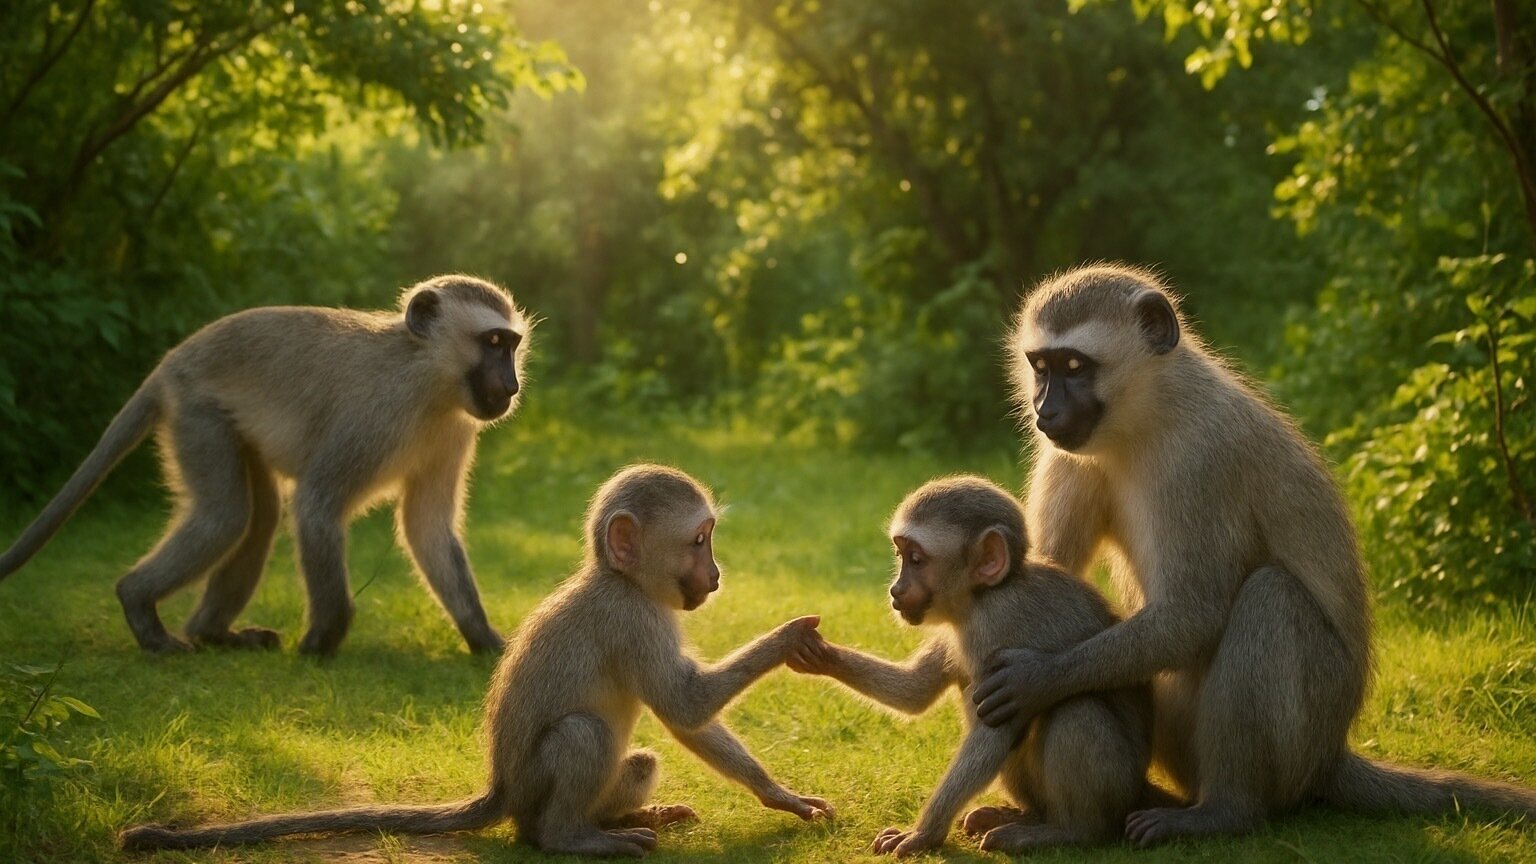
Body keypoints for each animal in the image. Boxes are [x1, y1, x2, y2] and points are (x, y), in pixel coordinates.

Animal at [0, 274, 527, 656]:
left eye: (512, 345)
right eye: (492, 342)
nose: (512, 385)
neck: (426, 378)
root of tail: (172, 361)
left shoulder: (455, 429)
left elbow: (427, 526)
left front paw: (483, 639)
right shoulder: (375, 413)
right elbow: (317, 505)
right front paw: (323, 638)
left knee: (258, 516)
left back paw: (212, 633)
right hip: (197, 413)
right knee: (225, 517)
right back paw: (139, 604)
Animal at [118, 464, 831, 856]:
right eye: (700, 540)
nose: (716, 573)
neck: (621, 579)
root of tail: (503, 792)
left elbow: (688, 724)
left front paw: (777, 795)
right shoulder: (632, 620)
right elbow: (684, 706)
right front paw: (789, 638)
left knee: (638, 758)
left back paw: (621, 814)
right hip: (534, 792)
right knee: (580, 739)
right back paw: (571, 837)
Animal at [787, 475, 1164, 857]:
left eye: (916, 559)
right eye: (900, 555)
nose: (896, 589)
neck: (983, 595)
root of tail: (1140, 788)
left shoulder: (993, 627)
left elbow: (996, 728)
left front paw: (925, 833)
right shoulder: (957, 628)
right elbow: (915, 690)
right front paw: (811, 649)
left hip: (1118, 785)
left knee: (1075, 710)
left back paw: (1069, 830)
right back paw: (1025, 815)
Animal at [972, 263, 1536, 844]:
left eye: (1076, 366)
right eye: (1041, 367)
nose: (1045, 408)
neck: (1151, 411)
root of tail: (1330, 753)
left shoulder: (1199, 461)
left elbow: (1195, 615)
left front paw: (1039, 678)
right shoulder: (1066, 454)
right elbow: (1041, 578)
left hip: (1303, 735)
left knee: (1272, 597)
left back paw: (1224, 811)